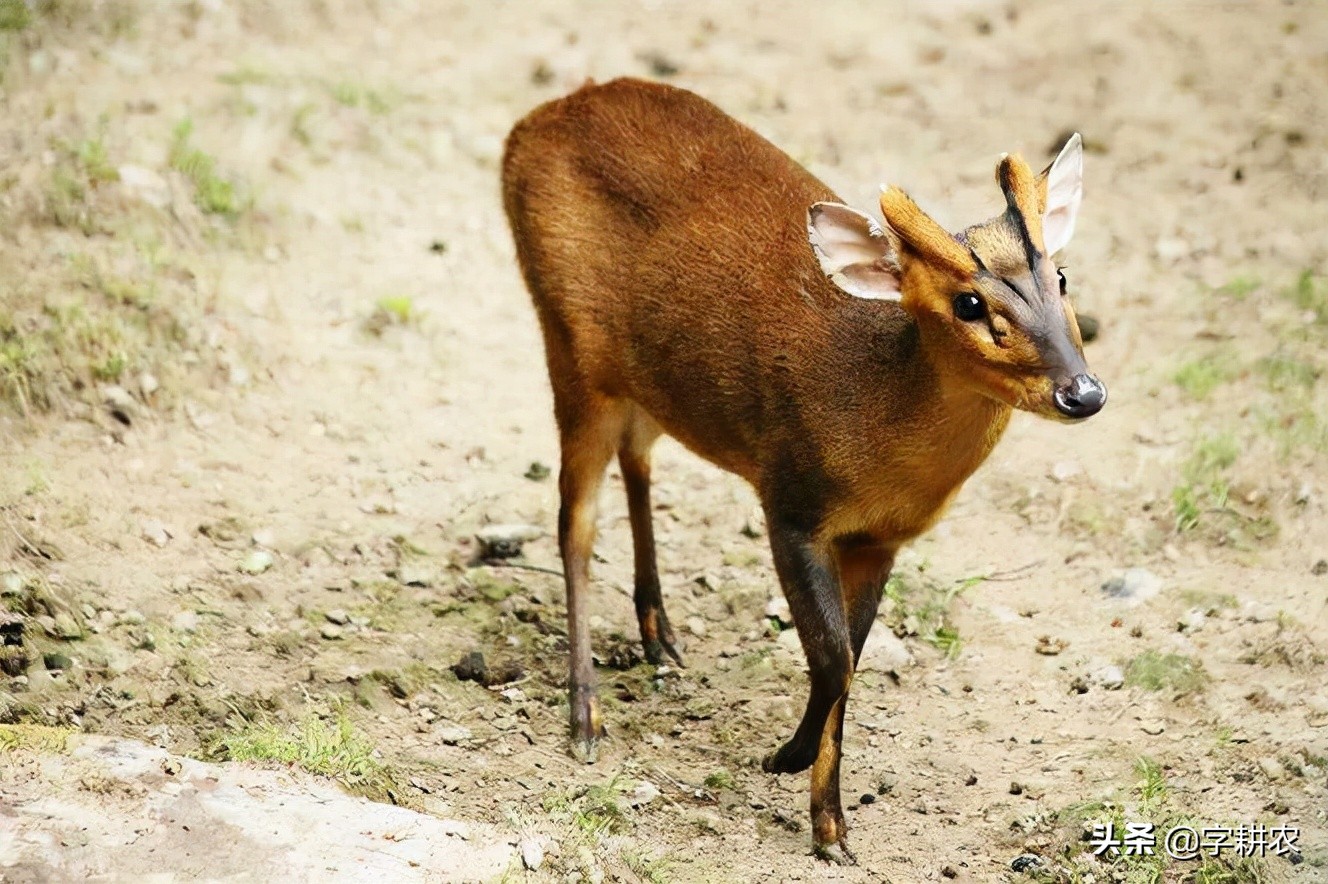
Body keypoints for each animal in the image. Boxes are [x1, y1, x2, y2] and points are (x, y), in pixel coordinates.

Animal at [499, 79, 1099, 854]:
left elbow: (850, 654)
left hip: (649, 380)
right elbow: (833, 655)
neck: (875, 424)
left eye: (1062, 274)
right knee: (574, 526)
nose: (1083, 392)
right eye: (969, 302)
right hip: (571, 344)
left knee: (638, 458)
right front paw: (819, 808)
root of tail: (534, 120)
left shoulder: (880, 539)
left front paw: (800, 771)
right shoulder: (789, 501)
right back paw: (585, 718)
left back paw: (660, 636)